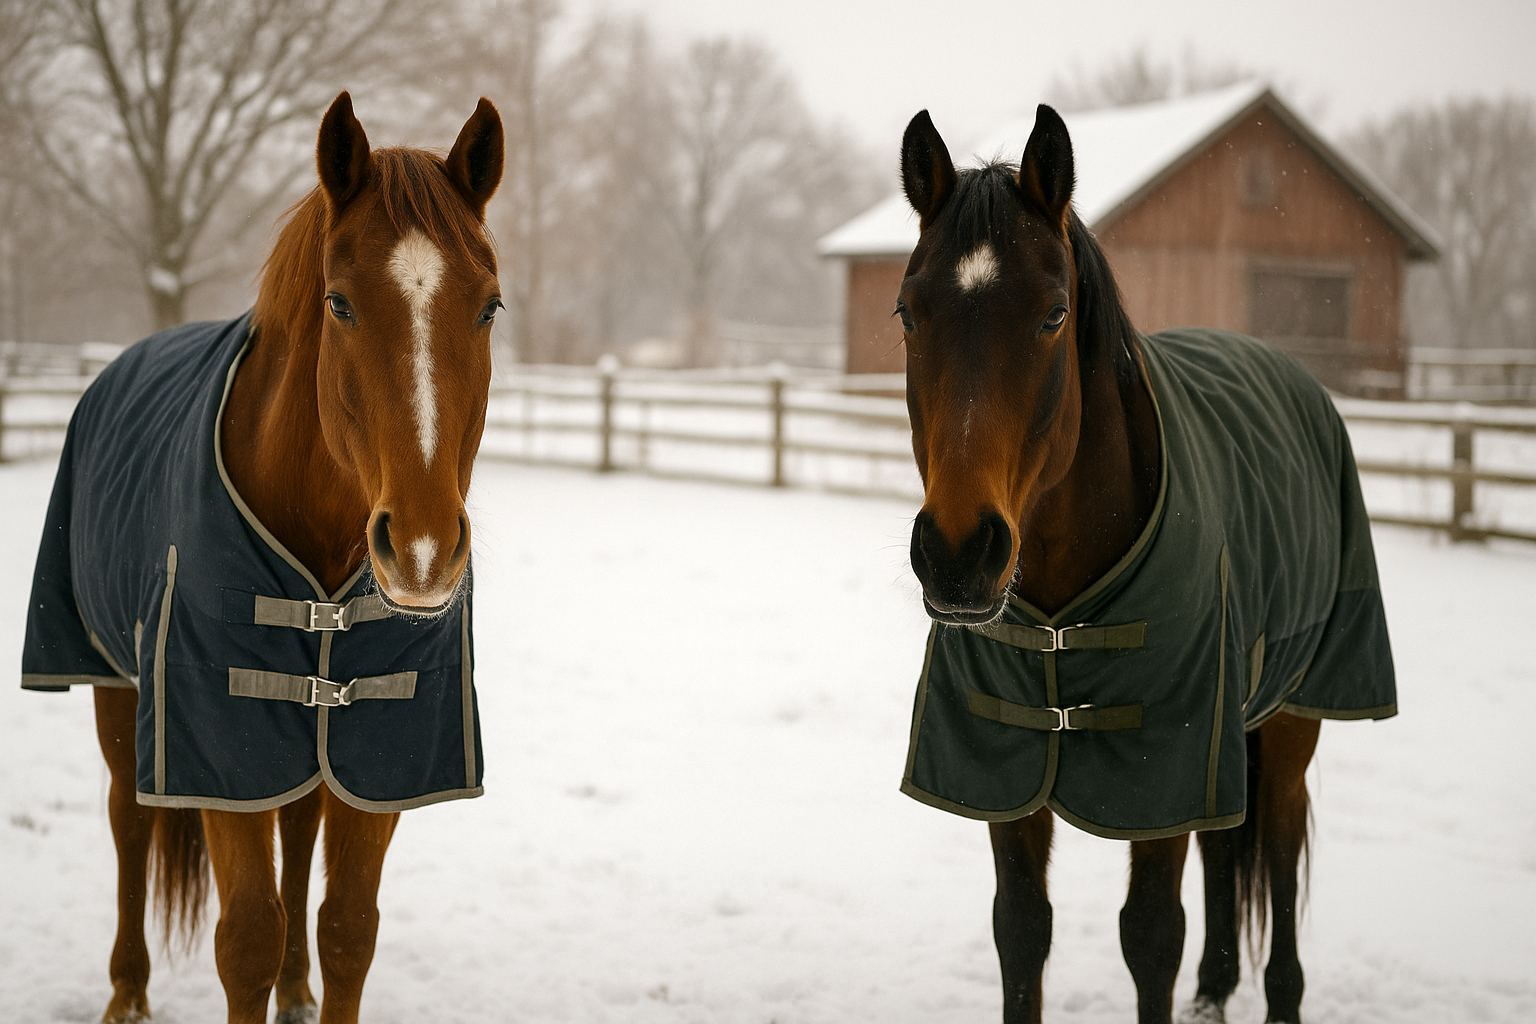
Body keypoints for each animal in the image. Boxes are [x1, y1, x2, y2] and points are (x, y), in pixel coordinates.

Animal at [21, 92, 504, 1024]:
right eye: (340, 304)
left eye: (491, 306)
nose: (423, 551)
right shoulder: (214, 742)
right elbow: (244, 935)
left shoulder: (380, 748)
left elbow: (347, 927)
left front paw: (307, 978)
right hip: (117, 687)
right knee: (129, 824)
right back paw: (127, 992)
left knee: (300, 826)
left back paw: (295, 986)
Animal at [893, 105, 1397, 1024]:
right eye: (908, 313)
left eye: (1054, 313)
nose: (957, 556)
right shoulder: (1011, 778)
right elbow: (1022, 930)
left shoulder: (1165, 774)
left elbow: (1152, 937)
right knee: (1229, 849)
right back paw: (1217, 988)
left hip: (1291, 721)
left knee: (1275, 855)